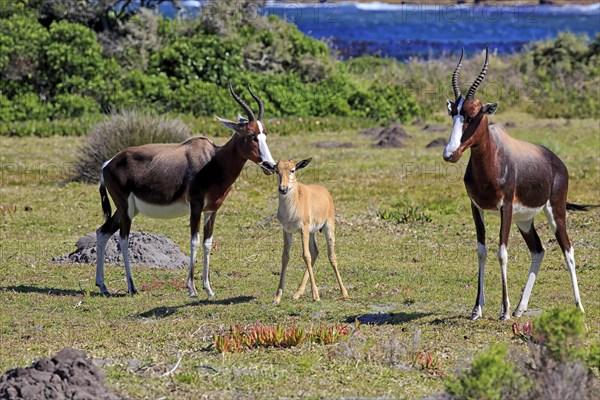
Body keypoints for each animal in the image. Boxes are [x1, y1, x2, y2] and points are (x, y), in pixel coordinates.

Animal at [96, 83, 276, 296]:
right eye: (251, 135)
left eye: (265, 134)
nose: (270, 165)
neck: (212, 160)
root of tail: (108, 164)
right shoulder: (195, 206)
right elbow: (194, 241)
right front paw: (192, 289)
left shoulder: (212, 210)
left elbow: (207, 243)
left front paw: (209, 289)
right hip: (125, 209)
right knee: (123, 239)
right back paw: (132, 287)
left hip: (128, 209)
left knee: (102, 232)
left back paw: (102, 286)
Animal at [260, 158, 350, 304]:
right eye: (277, 170)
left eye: (292, 170)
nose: (283, 188)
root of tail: (325, 191)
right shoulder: (287, 230)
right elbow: (285, 256)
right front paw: (277, 297)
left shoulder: (304, 228)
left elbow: (305, 255)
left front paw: (316, 296)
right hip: (312, 233)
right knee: (315, 252)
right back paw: (297, 293)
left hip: (328, 227)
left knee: (331, 255)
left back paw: (344, 293)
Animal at [442, 47, 588, 322]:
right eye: (453, 113)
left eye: (473, 114)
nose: (449, 153)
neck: (494, 160)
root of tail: (557, 162)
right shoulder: (476, 208)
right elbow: (482, 250)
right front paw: (477, 309)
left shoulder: (505, 208)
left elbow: (502, 252)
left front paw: (504, 311)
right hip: (525, 220)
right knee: (539, 250)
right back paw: (521, 307)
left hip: (555, 211)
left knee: (568, 250)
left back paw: (578, 307)